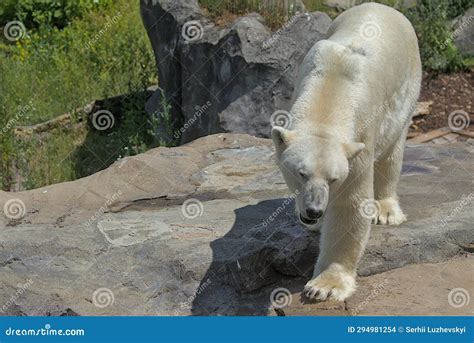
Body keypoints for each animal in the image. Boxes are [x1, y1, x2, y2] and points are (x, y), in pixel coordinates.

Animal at [272, 4, 420, 302]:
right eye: (301, 173)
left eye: (334, 178)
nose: (314, 210)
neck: (330, 89)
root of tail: (384, 7)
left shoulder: (360, 139)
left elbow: (350, 206)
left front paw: (324, 286)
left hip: (408, 87)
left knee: (392, 151)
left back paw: (385, 210)